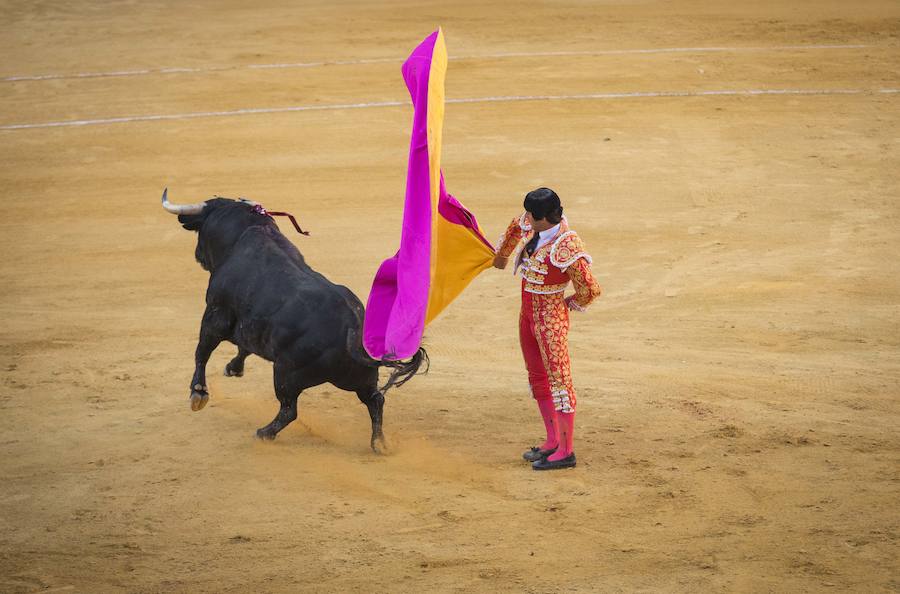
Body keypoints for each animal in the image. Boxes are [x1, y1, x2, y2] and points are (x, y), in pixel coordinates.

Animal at [162, 192, 428, 450]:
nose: (198, 255)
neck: (247, 231)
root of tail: (353, 329)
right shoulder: (251, 327)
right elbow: (243, 348)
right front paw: (233, 368)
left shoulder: (215, 314)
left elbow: (202, 351)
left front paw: (198, 393)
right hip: (360, 380)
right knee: (375, 400)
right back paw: (379, 444)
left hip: (285, 374)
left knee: (289, 410)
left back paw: (264, 433)